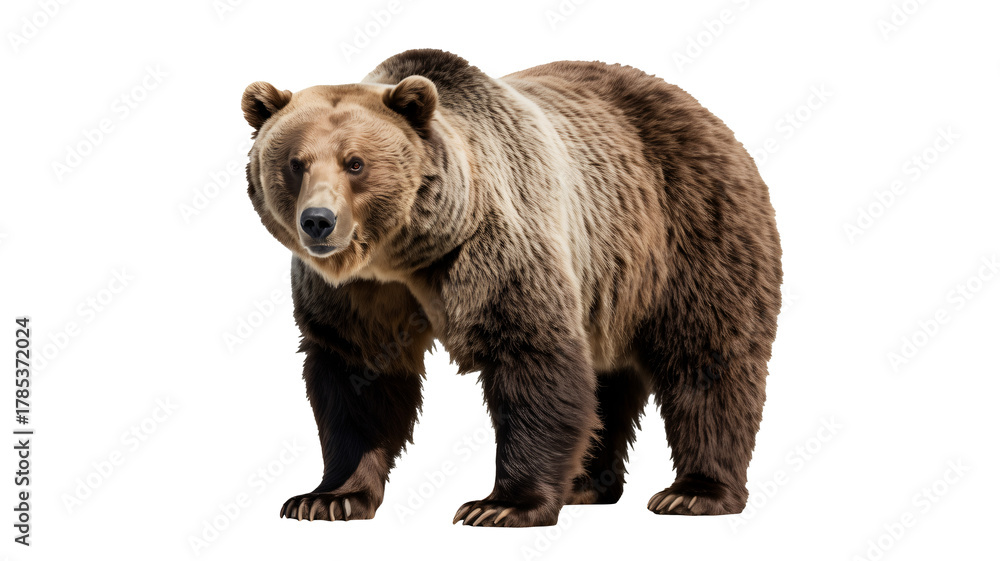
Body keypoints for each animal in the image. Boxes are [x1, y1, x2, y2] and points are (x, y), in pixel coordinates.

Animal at [241, 49, 781, 527]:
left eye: (355, 163)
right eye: (295, 163)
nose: (318, 221)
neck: (404, 255)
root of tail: (704, 112)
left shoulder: (494, 247)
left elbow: (532, 356)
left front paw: (501, 505)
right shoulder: (355, 294)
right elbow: (355, 377)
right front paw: (327, 498)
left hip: (688, 231)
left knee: (707, 359)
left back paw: (693, 492)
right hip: (610, 281)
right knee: (606, 379)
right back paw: (587, 484)